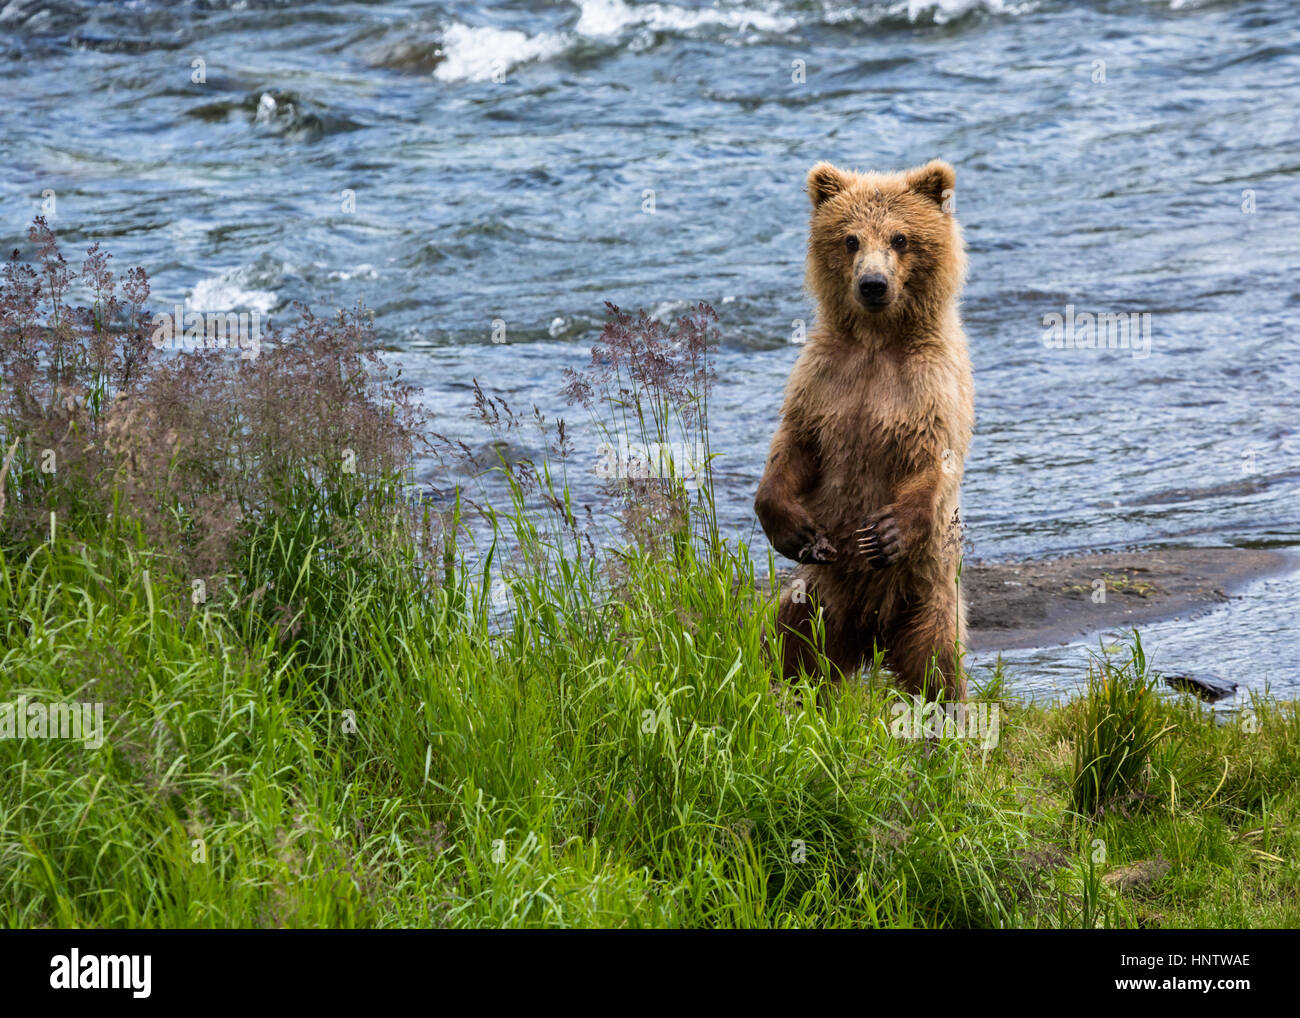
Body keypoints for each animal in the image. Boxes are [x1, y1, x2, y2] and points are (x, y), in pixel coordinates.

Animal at [759, 159, 972, 702]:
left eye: (900, 238)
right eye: (850, 239)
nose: (873, 284)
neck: (877, 341)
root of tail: (870, 630)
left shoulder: (929, 387)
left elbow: (932, 459)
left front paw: (883, 534)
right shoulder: (825, 379)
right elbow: (794, 445)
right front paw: (795, 529)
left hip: (929, 593)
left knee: (936, 664)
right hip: (814, 595)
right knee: (789, 646)